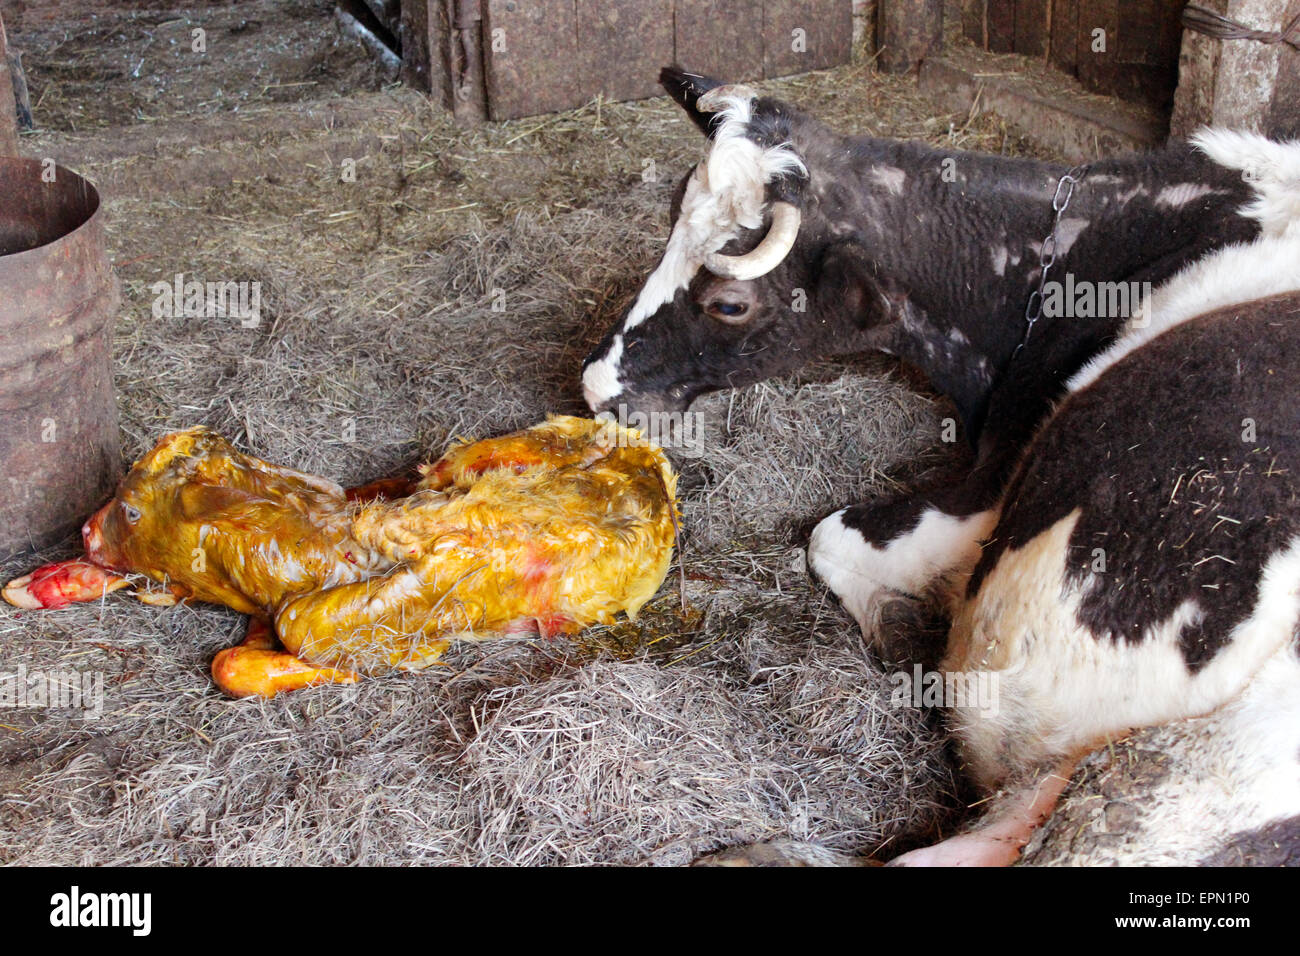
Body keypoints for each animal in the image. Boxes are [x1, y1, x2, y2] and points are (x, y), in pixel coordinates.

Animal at [585, 63, 1300, 863]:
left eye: (729, 303)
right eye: (668, 238)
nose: (596, 386)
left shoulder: (990, 486)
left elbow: (828, 538)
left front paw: (901, 624)